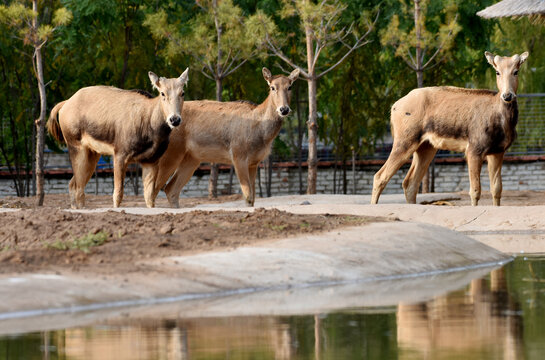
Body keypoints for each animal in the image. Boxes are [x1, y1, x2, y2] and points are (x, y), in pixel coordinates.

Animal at [47, 68, 191, 208]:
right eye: (162, 93)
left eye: (182, 92)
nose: (174, 119)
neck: (150, 125)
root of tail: (65, 104)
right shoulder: (120, 155)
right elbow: (118, 195)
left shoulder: (151, 160)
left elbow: (150, 198)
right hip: (76, 147)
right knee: (78, 188)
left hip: (92, 154)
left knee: (74, 184)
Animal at [142, 67, 300, 208]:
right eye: (272, 87)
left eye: (290, 86)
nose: (284, 109)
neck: (260, 132)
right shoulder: (238, 155)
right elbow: (248, 197)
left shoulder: (255, 162)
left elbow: (253, 198)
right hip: (170, 154)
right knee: (152, 191)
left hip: (191, 158)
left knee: (170, 189)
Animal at [370, 52, 528, 207]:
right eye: (497, 71)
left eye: (516, 71)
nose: (507, 95)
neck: (503, 123)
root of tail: (393, 107)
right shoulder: (473, 149)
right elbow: (475, 190)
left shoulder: (498, 151)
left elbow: (496, 189)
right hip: (404, 140)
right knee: (380, 176)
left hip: (426, 147)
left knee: (410, 183)